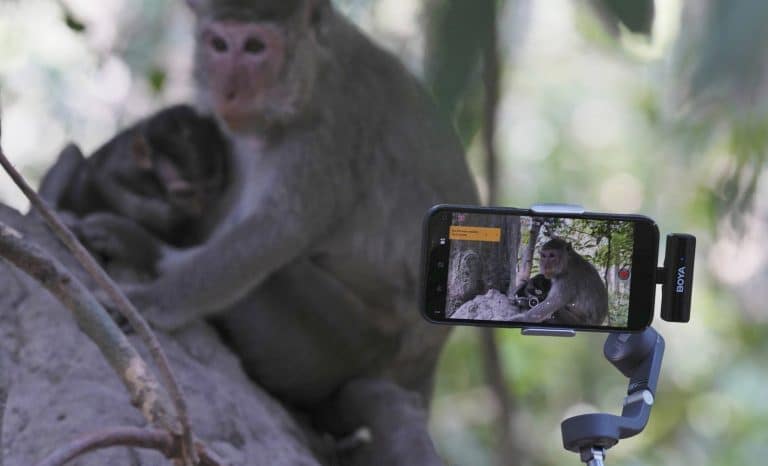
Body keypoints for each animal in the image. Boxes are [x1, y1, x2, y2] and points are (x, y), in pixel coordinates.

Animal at [72, 0, 478, 463]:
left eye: (254, 47)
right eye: (218, 44)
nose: (228, 92)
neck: (312, 72)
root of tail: (425, 366)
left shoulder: (331, 128)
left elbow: (275, 232)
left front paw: (151, 300)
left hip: (346, 340)